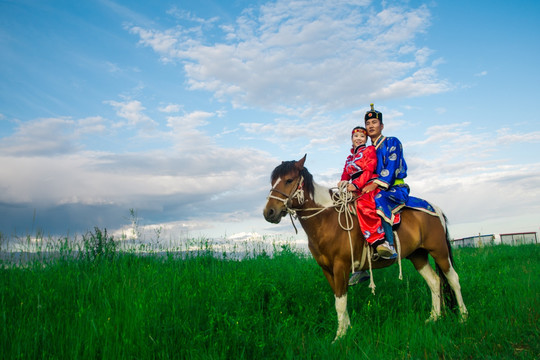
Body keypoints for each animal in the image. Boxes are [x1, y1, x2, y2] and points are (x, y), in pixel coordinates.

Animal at [264, 154, 466, 340]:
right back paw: (434, 317)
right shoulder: (327, 269)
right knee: (434, 282)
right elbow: (339, 300)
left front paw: (339, 337)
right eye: (272, 181)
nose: (269, 212)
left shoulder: (340, 266)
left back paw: (463, 317)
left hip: (439, 251)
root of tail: (436, 209)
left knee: (453, 279)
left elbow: (340, 302)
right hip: (419, 255)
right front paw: (347, 330)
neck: (326, 220)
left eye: (289, 180)